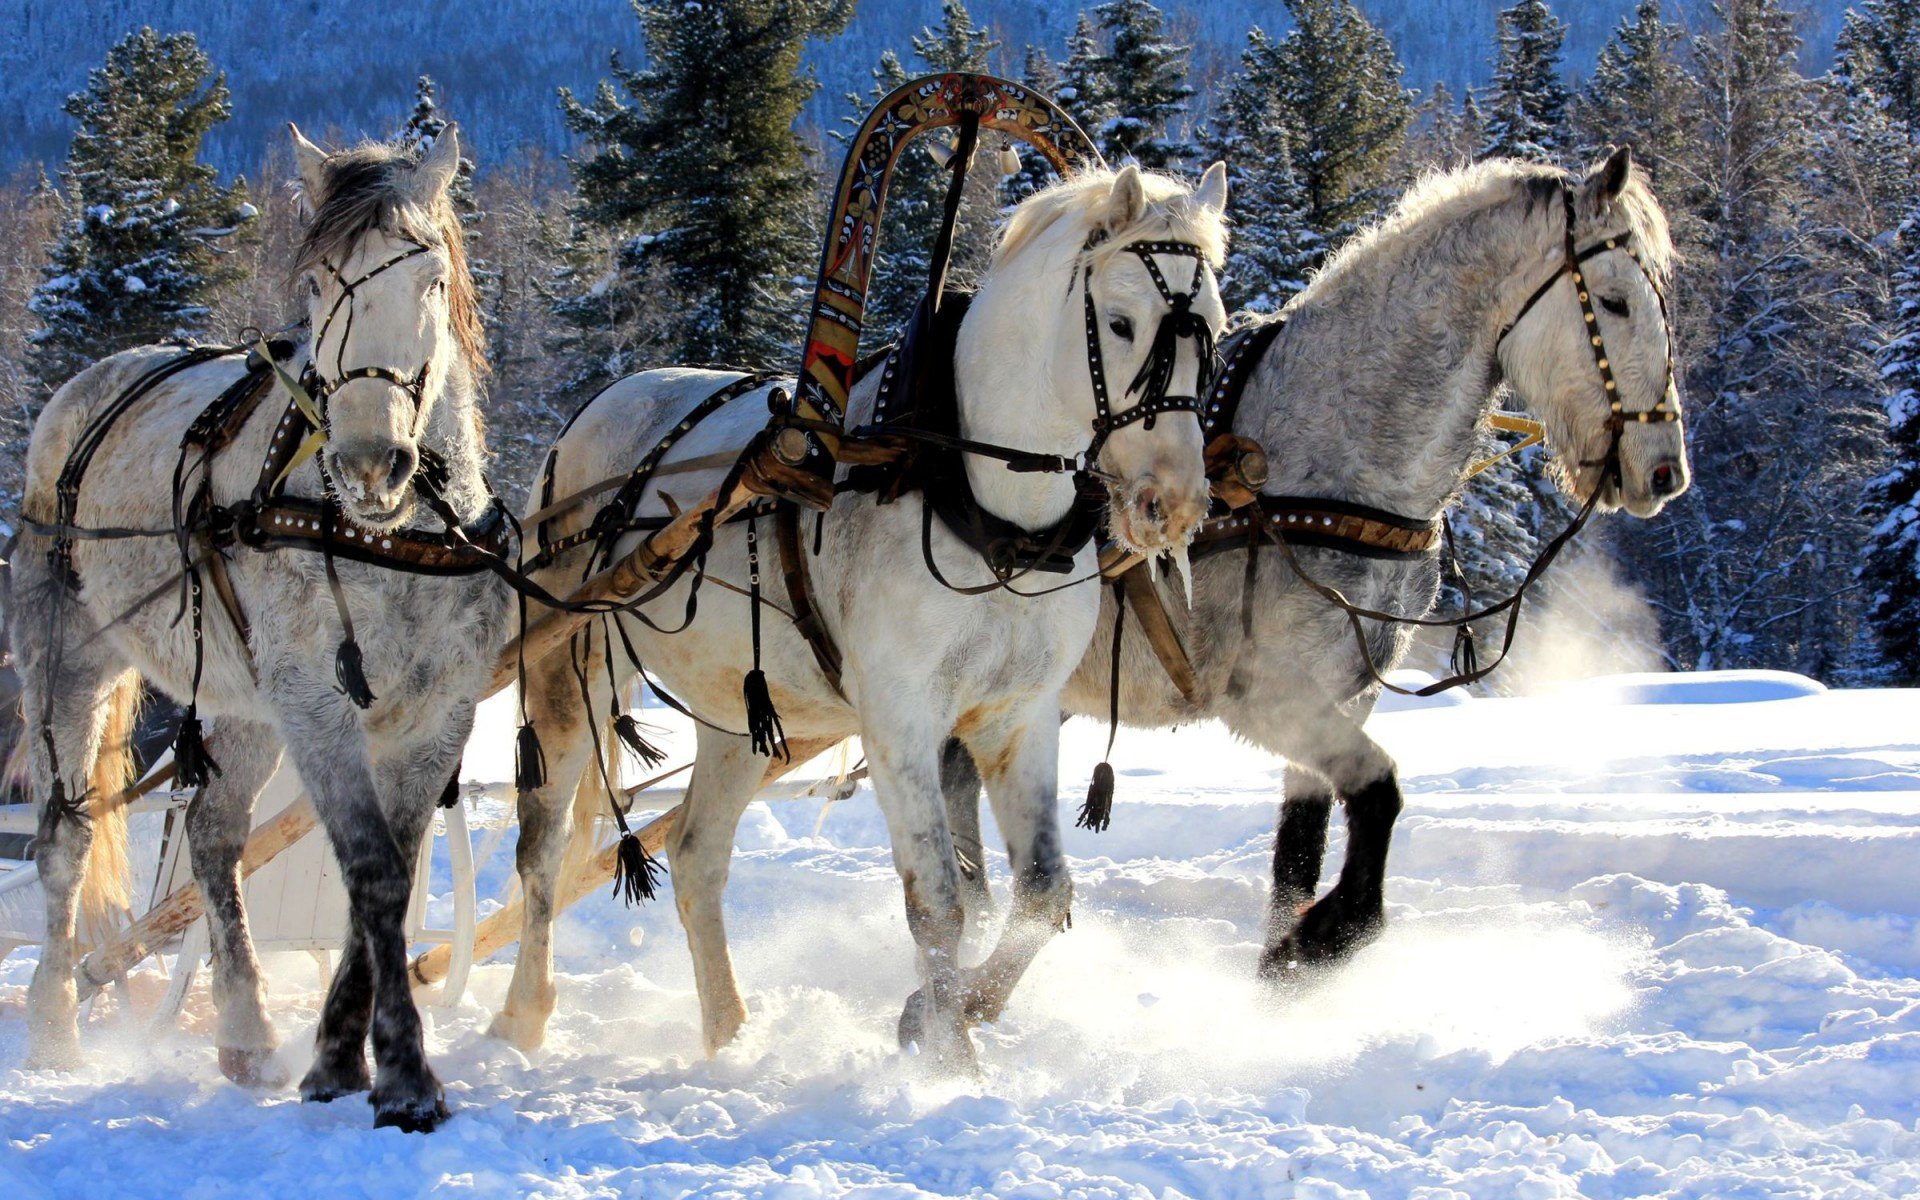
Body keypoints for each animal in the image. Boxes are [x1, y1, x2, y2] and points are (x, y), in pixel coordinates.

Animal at [13, 130, 510, 1128]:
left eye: (429, 275)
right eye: (318, 281)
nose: (369, 460)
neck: (387, 533)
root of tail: (87, 385)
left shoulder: (436, 713)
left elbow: (388, 872)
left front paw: (337, 1057)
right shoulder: (316, 701)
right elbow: (373, 870)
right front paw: (402, 1076)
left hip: (238, 700)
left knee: (211, 834)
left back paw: (243, 1032)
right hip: (65, 661)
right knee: (65, 839)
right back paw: (53, 1025)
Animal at [499, 159, 1228, 1067]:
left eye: (1215, 330)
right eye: (1123, 323)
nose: (1175, 502)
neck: (983, 508)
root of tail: (593, 410)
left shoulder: (1018, 717)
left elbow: (1041, 893)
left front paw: (961, 1009)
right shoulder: (901, 720)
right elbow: (941, 902)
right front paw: (949, 1058)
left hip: (739, 713)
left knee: (697, 856)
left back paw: (729, 1032)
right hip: (572, 673)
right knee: (541, 850)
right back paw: (522, 1019)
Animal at [948, 149, 1697, 975]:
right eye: (1615, 300)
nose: (1664, 469)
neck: (1331, 458)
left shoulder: (1345, 693)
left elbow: (1298, 856)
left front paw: (1282, 966)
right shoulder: (1266, 693)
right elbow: (1379, 793)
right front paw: (1332, 932)